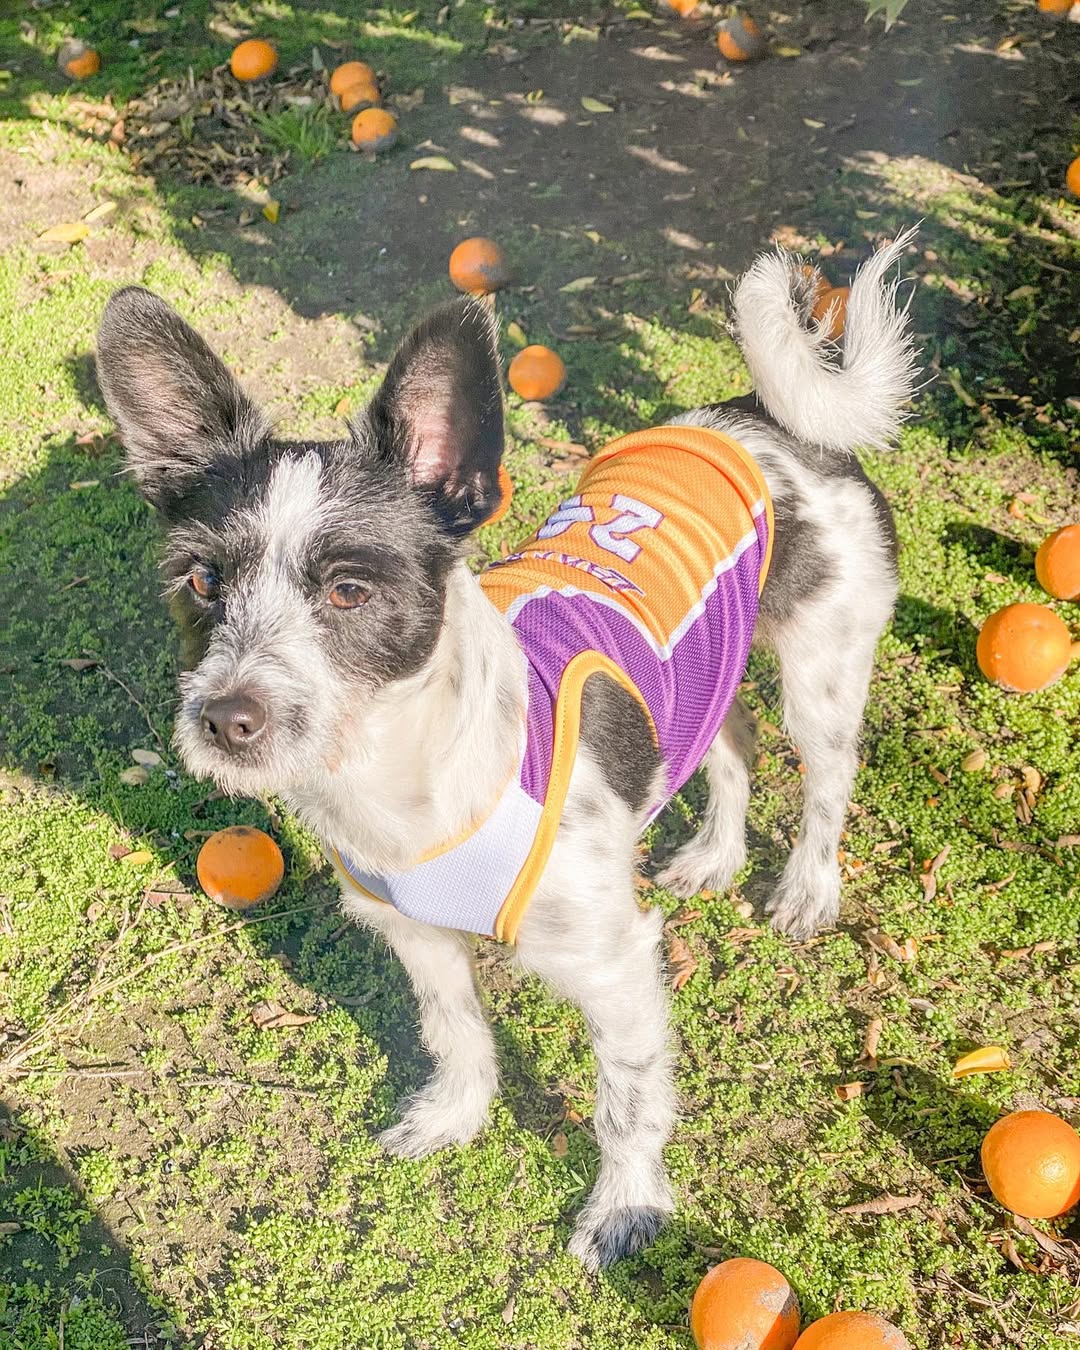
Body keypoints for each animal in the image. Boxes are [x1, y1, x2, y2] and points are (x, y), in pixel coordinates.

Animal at [95, 226, 918, 1269]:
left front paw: (626, 1209)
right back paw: (715, 856)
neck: (408, 784)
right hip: (711, 660)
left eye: (351, 591)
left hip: (823, 670)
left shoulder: (614, 965)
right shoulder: (416, 937)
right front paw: (456, 1117)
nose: (226, 718)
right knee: (728, 742)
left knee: (826, 777)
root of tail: (763, 415)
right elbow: (456, 1032)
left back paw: (808, 886)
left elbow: (628, 1099)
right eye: (201, 581)